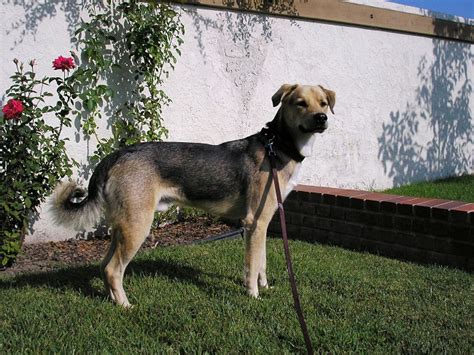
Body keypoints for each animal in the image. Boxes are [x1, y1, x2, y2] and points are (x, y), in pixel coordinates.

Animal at [51, 84, 334, 308]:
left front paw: (265, 287)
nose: (322, 118)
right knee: (112, 269)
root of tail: (117, 155)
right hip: (137, 226)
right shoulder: (255, 222)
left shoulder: (263, 223)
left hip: (123, 226)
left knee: (104, 266)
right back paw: (125, 306)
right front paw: (253, 295)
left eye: (323, 103)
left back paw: (112, 300)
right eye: (300, 103)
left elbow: (261, 262)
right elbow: (253, 265)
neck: (278, 146)